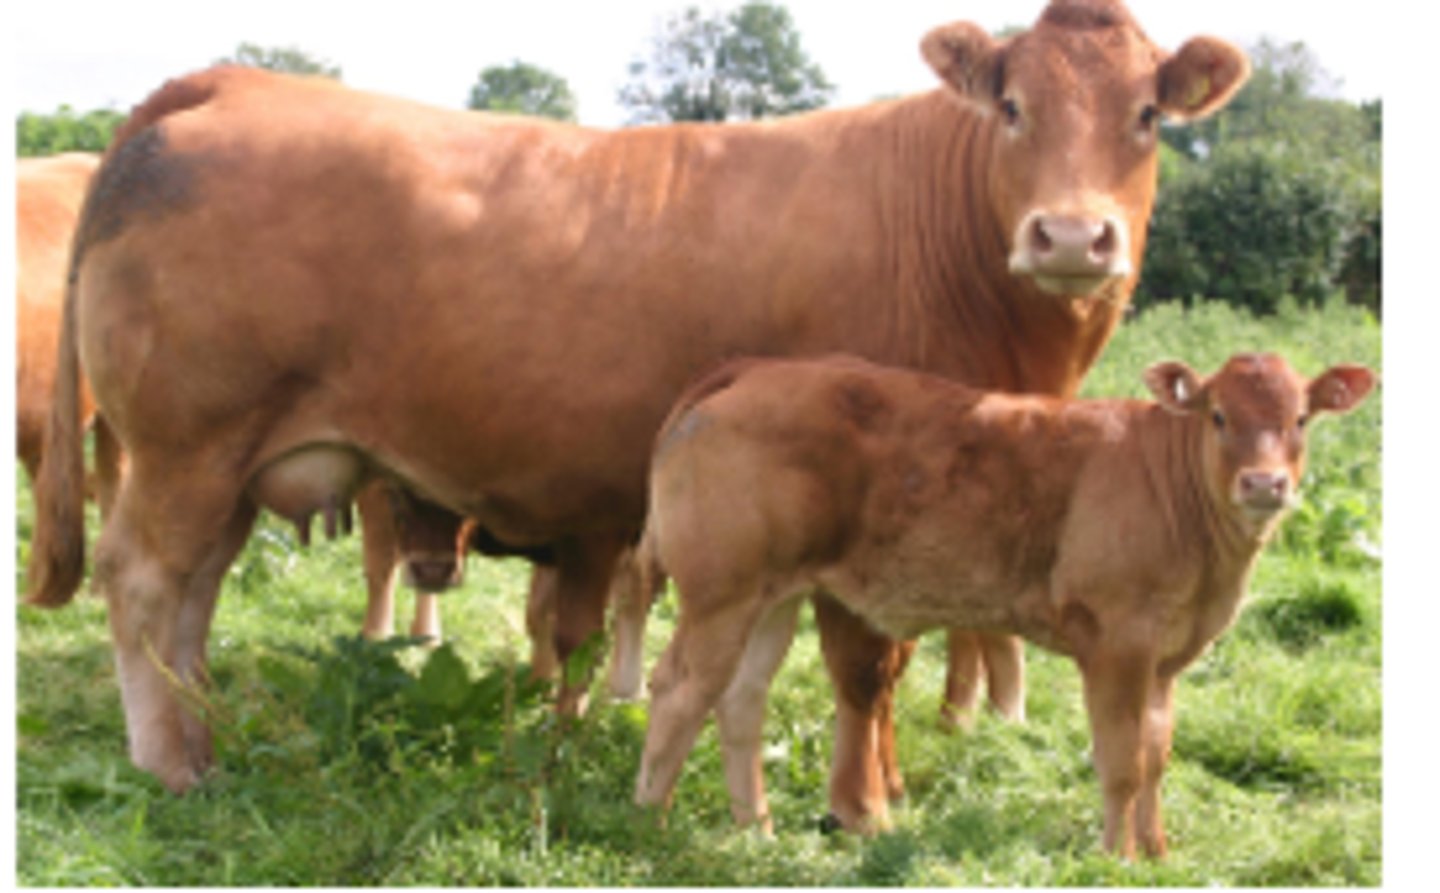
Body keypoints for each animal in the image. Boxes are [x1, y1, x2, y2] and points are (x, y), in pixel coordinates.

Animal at [25, 0, 1247, 807]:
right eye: (1011, 106)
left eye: (1147, 114)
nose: (1073, 236)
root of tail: (232, 80)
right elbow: (867, 667)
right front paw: (862, 807)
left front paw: (885, 786)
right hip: (184, 445)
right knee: (143, 585)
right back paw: (171, 761)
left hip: (223, 463)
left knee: (192, 596)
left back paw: (206, 733)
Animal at [632, 353, 1375, 857]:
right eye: (1218, 415)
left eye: (1300, 419)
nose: (1264, 483)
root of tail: (752, 369)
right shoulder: (1118, 641)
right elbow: (1122, 759)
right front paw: (1115, 858)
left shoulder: (1167, 656)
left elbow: (1157, 752)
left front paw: (1157, 851)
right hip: (720, 592)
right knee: (678, 688)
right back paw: (647, 823)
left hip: (772, 595)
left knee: (739, 698)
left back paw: (755, 829)